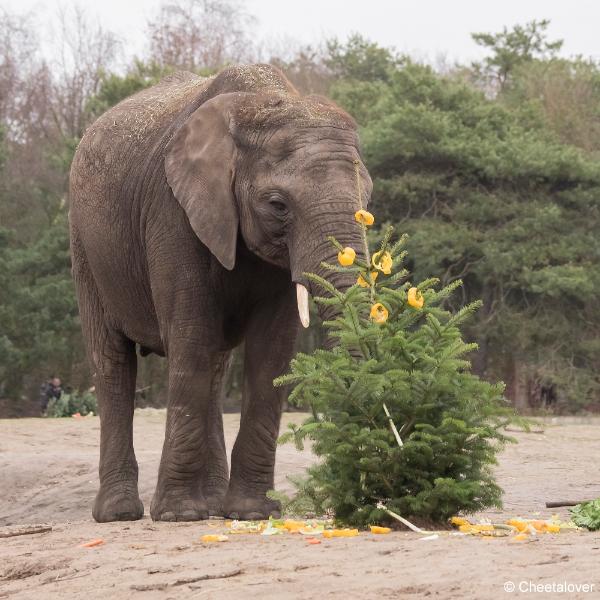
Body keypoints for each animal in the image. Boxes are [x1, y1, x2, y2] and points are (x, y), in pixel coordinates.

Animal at [69, 64, 370, 520]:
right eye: (278, 205)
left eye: (366, 200)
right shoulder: (172, 212)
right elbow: (191, 340)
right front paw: (177, 515)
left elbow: (271, 353)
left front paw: (251, 513)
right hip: (86, 248)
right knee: (114, 364)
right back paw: (121, 513)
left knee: (213, 366)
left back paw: (210, 503)